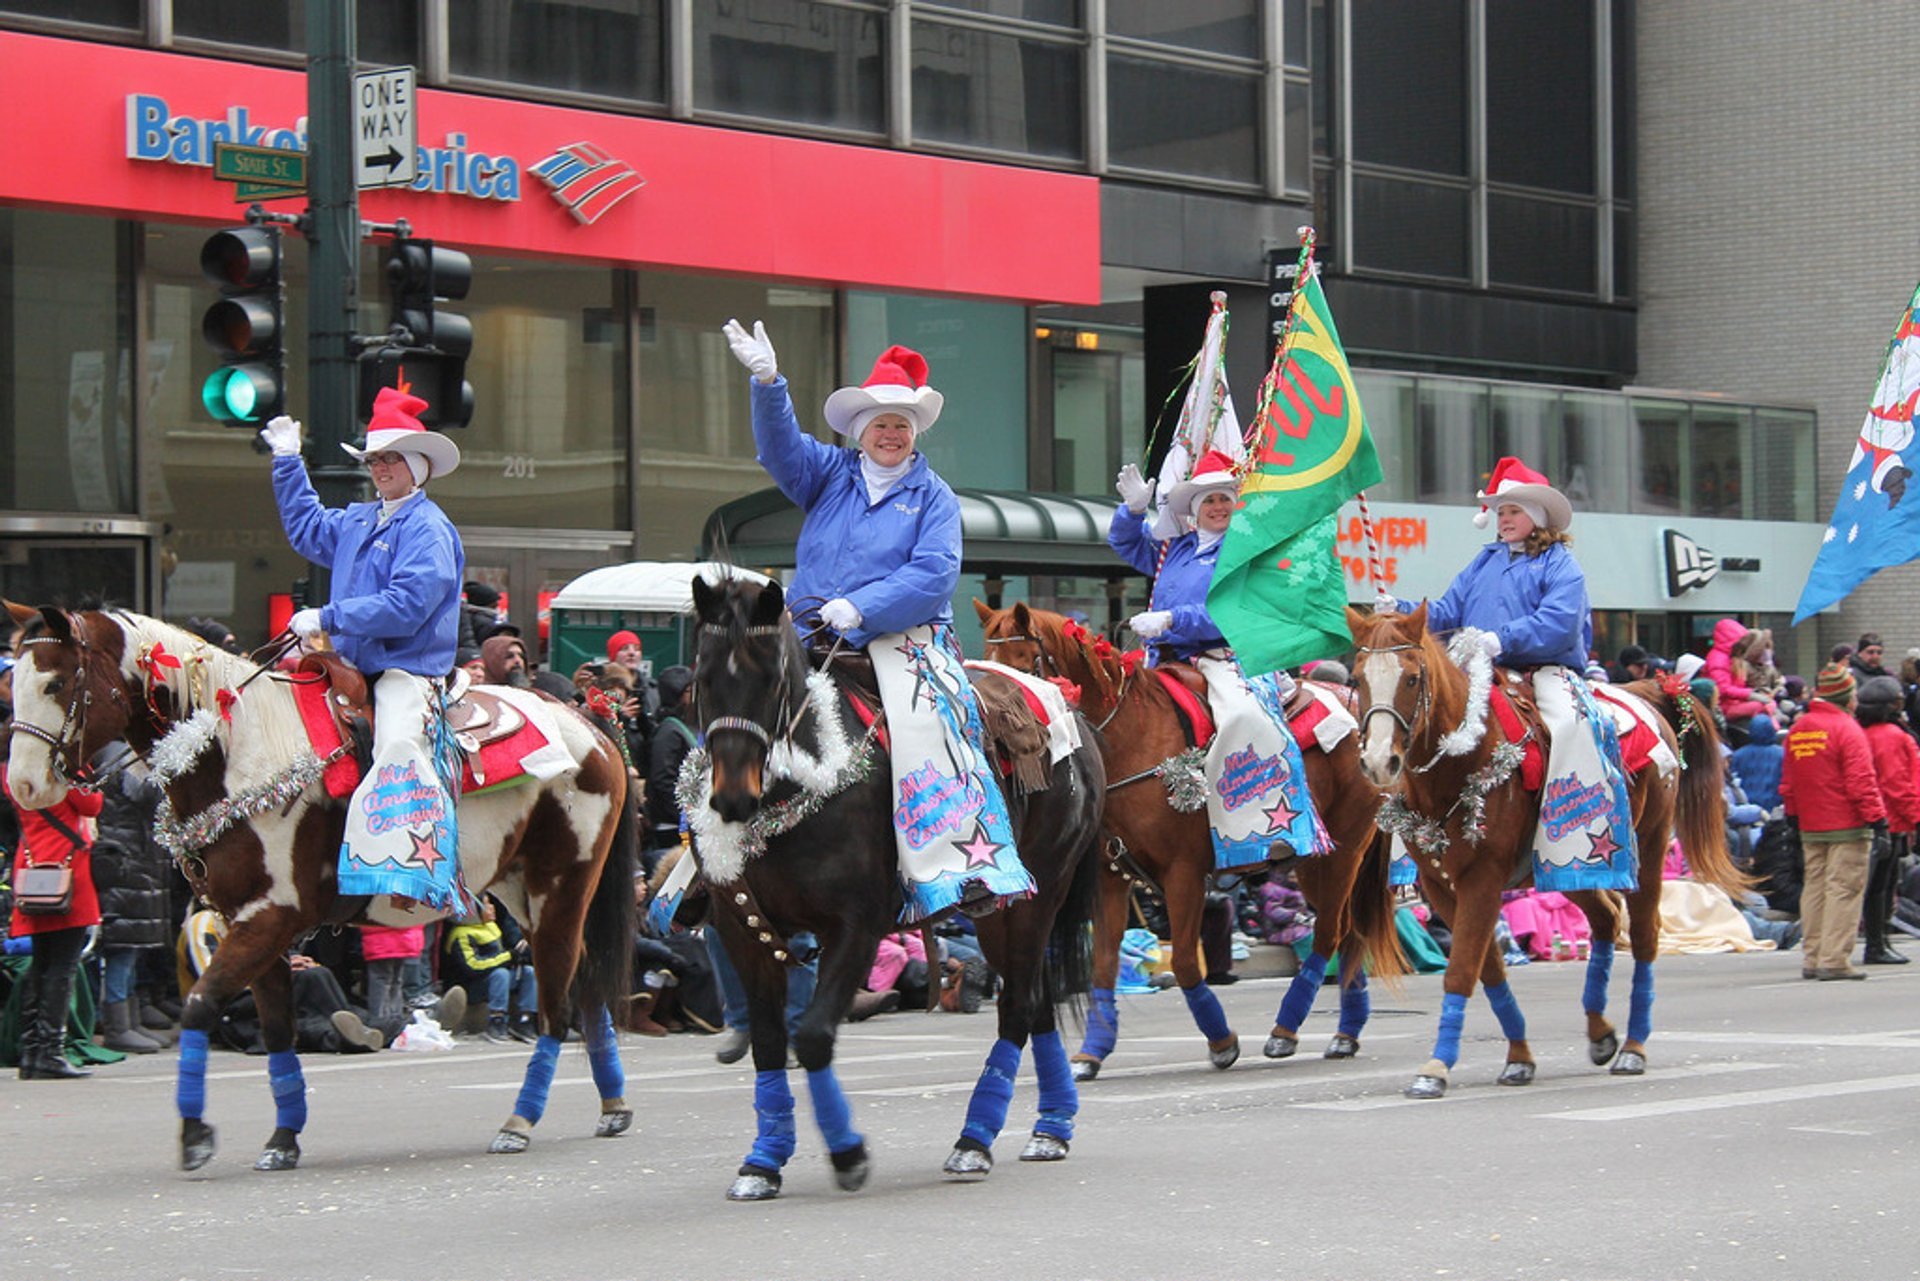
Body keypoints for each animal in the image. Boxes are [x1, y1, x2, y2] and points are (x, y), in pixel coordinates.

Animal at [3, 603, 641, 1175]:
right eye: (15, 684)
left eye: (57, 682)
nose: (24, 786)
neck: (241, 753)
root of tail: (590, 723)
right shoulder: (247, 921)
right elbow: (276, 1028)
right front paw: (283, 1138)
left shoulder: (270, 918)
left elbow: (200, 1003)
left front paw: (195, 1133)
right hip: (521, 891)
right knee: (582, 981)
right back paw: (613, 1104)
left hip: (561, 887)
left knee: (558, 1002)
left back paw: (520, 1121)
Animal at [691, 580, 1113, 1206]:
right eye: (702, 674)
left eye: (770, 678)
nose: (732, 799)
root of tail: (1071, 715)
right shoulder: (746, 931)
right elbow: (768, 1042)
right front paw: (763, 1162)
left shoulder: (856, 928)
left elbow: (812, 1037)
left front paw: (848, 1154)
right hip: (998, 912)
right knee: (1033, 1000)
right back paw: (1049, 1128)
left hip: (1041, 894)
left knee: (1018, 1006)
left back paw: (975, 1141)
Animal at [983, 603, 1405, 1083]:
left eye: (1024, 661)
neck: (1132, 738)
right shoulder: (1111, 877)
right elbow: (1104, 966)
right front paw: (1091, 1053)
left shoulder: (1182, 872)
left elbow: (1185, 962)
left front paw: (1222, 1042)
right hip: (1318, 863)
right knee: (1349, 932)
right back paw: (1345, 1034)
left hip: (1343, 851)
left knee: (1330, 934)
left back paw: (1286, 1030)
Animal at [1351, 610, 1743, 1106]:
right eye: (1357, 678)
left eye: (1412, 678)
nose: (1379, 761)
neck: (1463, 760)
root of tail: (1648, 695)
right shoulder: (1443, 885)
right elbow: (1488, 967)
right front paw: (1519, 1058)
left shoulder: (1482, 879)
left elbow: (1461, 971)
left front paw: (1435, 1068)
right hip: (1563, 869)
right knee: (1605, 918)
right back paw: (1601, 1033)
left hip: (1648, 847)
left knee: (1644, 936)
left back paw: (1633, 1047)